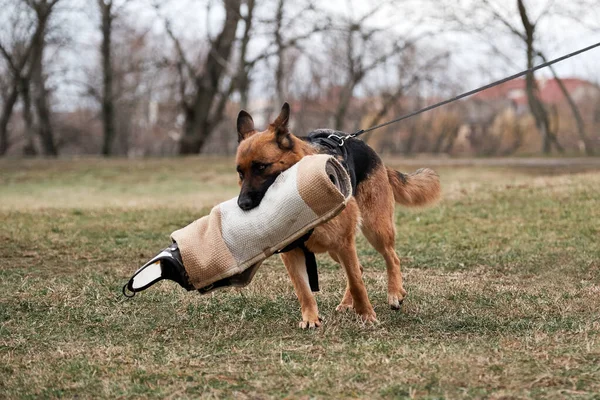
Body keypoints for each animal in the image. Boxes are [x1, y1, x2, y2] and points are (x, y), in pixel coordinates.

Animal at [236, 103, 440, 328]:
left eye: (262, 167)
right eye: (240, 173)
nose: (242, 204)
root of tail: (370, 151)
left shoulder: (344, 242)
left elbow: (357, 283)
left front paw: (367, 316)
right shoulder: (292, 253)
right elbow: (303, 290)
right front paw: (310, 318)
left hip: (374, 230)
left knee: (390, 258)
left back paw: (394, 293)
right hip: (335, 249)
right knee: (360, 268)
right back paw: (347, 303)